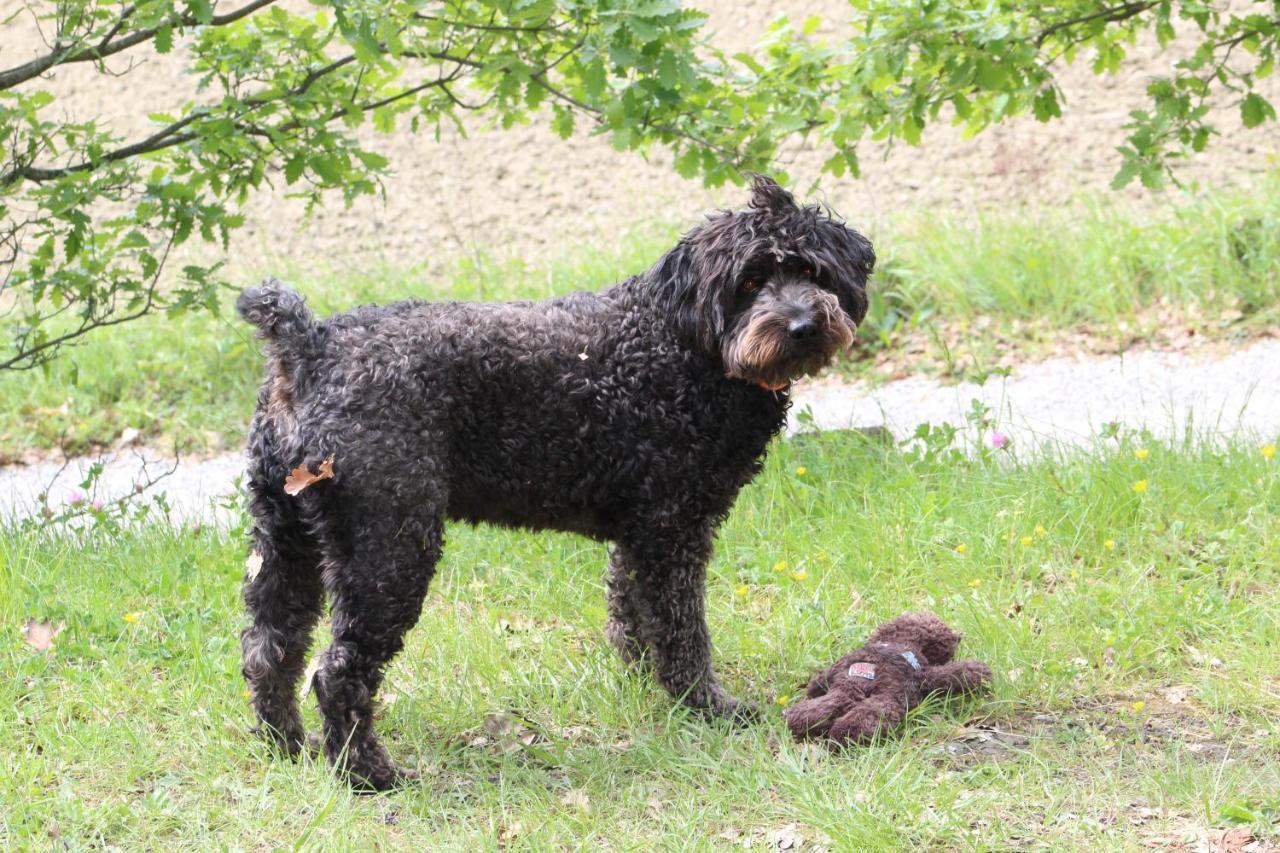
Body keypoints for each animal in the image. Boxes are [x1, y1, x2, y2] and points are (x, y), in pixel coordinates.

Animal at [235, 174, 875, 788]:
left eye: (811, 270)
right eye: (749, 282)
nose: (802, 325)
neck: (680, 344)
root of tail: (309, 347)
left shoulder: (642, 532)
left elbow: (630, 611)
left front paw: (642, 682)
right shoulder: (672, 532)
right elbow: (681, 630)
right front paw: (705, 705)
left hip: (285, 542)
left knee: (269, 651)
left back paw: (287, 747)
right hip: (388, 547)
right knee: (337, 673)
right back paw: (369, 774)